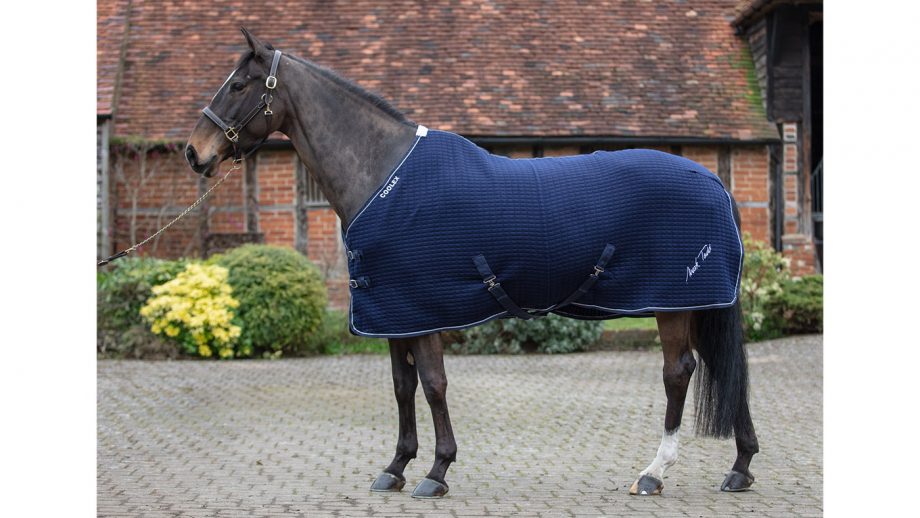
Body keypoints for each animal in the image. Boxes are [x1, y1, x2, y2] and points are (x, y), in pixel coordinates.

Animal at [185, 28, 759, 499]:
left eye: (238, 85)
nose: (195, 152)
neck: (382, 174)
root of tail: (714, 180)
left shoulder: (423, 311)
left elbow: (434, 385)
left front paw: (436, 472)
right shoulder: (394, 314)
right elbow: (403, 387)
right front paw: (395, 467)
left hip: (674, 303)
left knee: (679, 373)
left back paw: (654, 473)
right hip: (700, 301)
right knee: (724, 367)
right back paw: (740, 467)